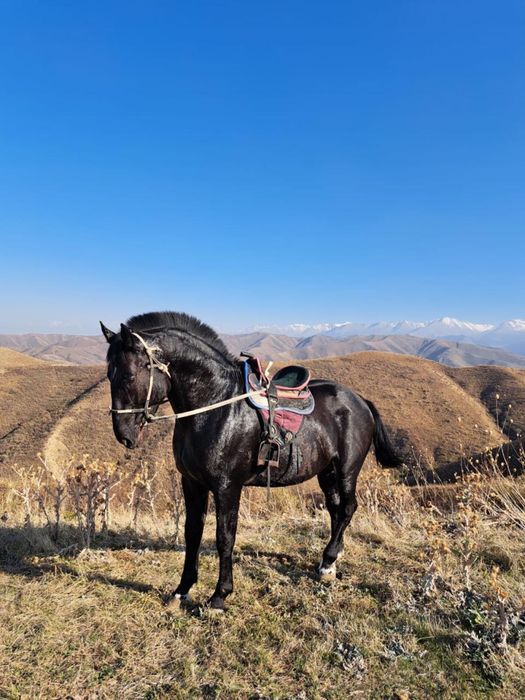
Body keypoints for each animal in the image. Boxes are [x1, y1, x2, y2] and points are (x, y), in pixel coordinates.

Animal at [101, 311, 402, 612]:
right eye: (108, 375)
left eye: (129, 375)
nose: (123, 434)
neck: (216, 404)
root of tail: (359, 400)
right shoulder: (192, 483)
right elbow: (192, 533)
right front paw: (181, 590)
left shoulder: (227, 487)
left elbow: (225, 537)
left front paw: (219, 595)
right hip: (326, 470)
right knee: (336, 508)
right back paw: (330, 561)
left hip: (347, 469)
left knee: (348, 507)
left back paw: (328, 561)